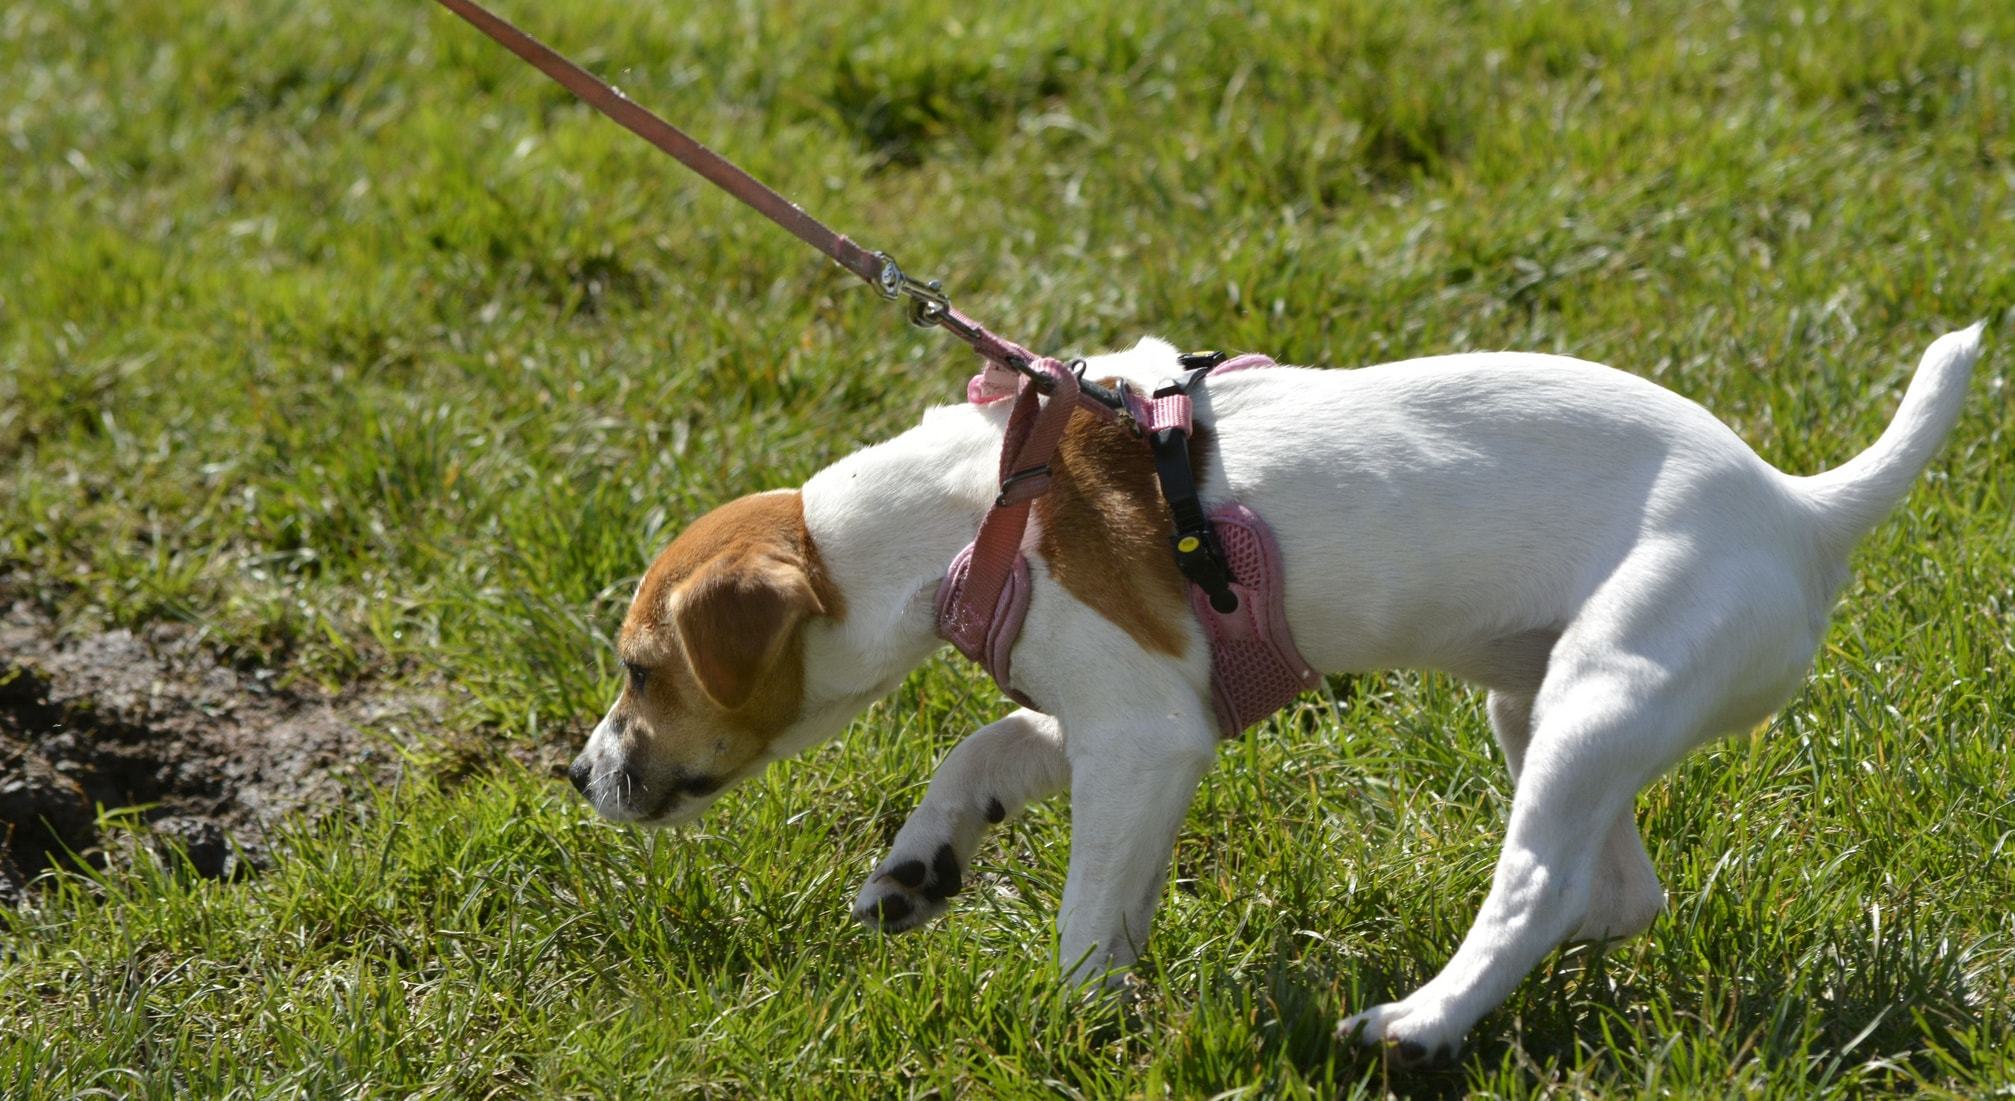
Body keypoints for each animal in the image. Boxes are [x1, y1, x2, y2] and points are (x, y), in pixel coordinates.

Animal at [568, 322, 1982, 1056]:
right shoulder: (1128, 708)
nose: (576, 774)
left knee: (1531, 887)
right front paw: (918, 865)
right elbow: (983, 749)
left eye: (641, 670)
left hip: (1601, 692)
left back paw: (1416, 1024)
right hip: (1535, 702)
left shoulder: (1144, 736)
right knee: (1614, 890)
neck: (981, 509)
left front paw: (1072, 1018)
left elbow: (1085, 911)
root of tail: (1801, 508)